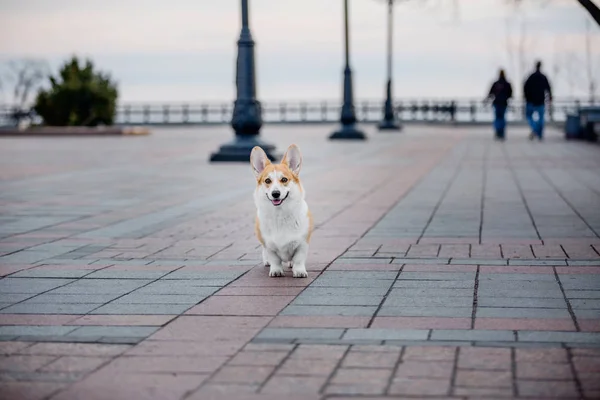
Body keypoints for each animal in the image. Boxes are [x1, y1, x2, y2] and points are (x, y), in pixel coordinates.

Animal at [251, 145, 314, 278]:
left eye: (284, 179)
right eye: (267, 181)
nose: (275, 193)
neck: (280, 214)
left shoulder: (302, 244)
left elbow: (299, 259)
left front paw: (299, 271)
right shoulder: (269, 245)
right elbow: (274, 259)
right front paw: (276, 271)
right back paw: (267, 261)